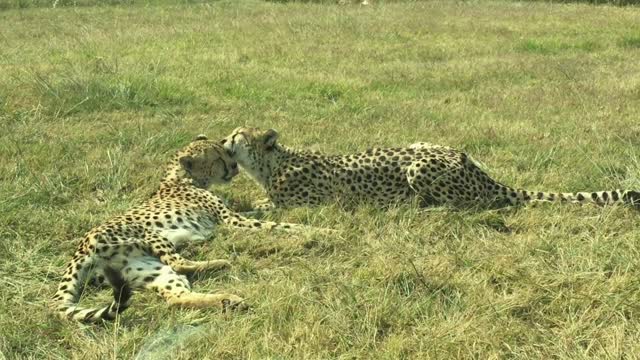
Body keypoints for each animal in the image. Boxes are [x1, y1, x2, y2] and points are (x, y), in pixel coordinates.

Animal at [55, 135, 318, 324]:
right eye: (219, 159)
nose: (235, 167)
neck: (180, 178)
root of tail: (79, 250)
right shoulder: (231, 221)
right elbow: (278, 225)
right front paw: (319, 231)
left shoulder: (232, 216)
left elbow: (262, 214)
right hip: (147, 233)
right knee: (180, 263)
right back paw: (221, 263)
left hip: (144, 269)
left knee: (176, 297)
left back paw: (228, 300)